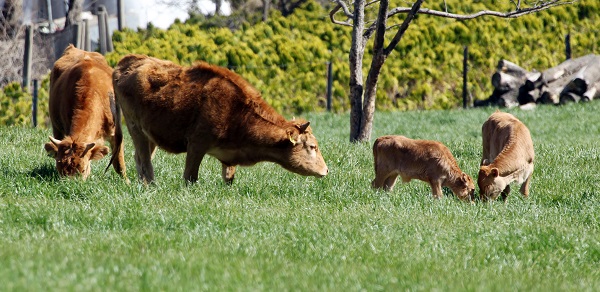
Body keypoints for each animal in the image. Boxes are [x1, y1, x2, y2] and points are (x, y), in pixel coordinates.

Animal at [44, 44, 126, 179]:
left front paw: (127, 181)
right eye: (59, 169)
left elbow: (119, 163)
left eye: (82, 170)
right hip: (56, 127)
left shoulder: (115, 134)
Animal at [112, 53, 328, 184]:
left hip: (150, 135)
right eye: (312, 147)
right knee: (145, 162)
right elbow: (190, 177)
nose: (326, 170)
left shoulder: (229, 156)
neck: (238, 111)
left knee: (139, 158)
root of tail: (127, 62)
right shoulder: (196, 145)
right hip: (135, 128)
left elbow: (228, 177)